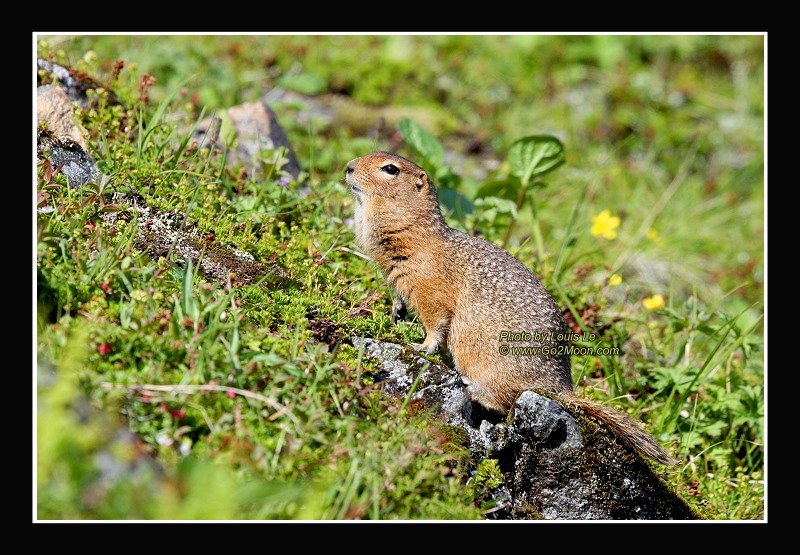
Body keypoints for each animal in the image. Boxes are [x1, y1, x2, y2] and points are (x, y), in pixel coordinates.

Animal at [345, 151, 678, 466]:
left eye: (391, 169)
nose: (348, 166)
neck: (415, 233)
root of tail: (560, 387)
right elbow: (401, 299)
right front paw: (395, 312)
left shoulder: (431, 287)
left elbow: (436, 321)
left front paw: (422, 345)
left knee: (504, 401)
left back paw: (472, 388)